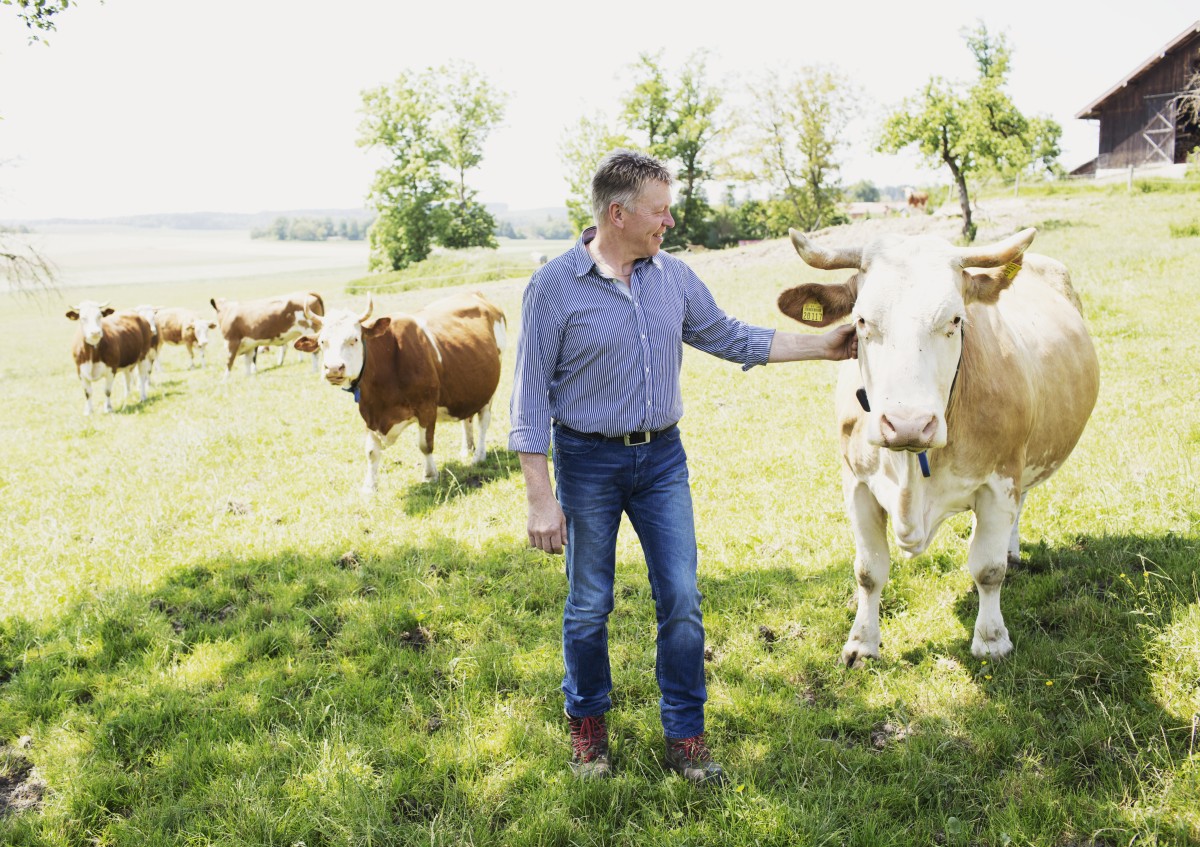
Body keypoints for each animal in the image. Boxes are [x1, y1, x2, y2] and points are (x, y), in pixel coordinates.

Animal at [297, 290, 508, 491]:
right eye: (322, 342)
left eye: (354, 339)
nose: (333, 369)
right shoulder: (368, 414)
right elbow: (371, 452)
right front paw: (369, 487)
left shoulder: (426, 407)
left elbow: (425, 445)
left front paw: (430, 475)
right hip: (468, 389)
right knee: (467, 418)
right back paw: (467, 449)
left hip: (489, 389)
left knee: (483, 422)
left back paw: (479, 455)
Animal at [777, 227, 1099, 662]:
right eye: (861, 320)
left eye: (955, 319)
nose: (907, 424)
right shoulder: (856, 485)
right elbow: (868, 570)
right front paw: (862, 642)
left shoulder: (1000, 482)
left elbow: (987, 569)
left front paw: (991, 640)